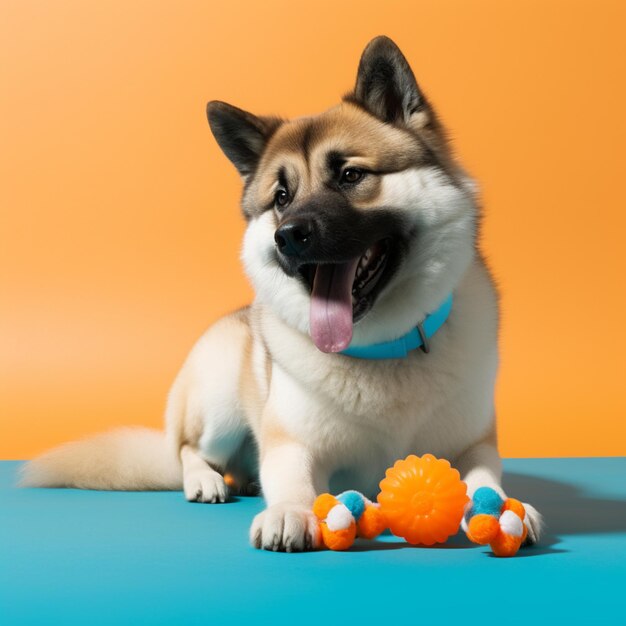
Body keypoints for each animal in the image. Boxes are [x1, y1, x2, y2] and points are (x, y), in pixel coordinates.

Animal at [22, 36, 540, 548]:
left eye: (351, 176)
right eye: (281, 198)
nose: (287, 236)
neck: (382, 349)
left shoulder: (474, 445)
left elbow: (483, 478)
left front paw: (504, 509)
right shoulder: (292, 445)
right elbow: (293, 480)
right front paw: (291, 512)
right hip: (219, 405)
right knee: (189, 450)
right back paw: (205, 480)